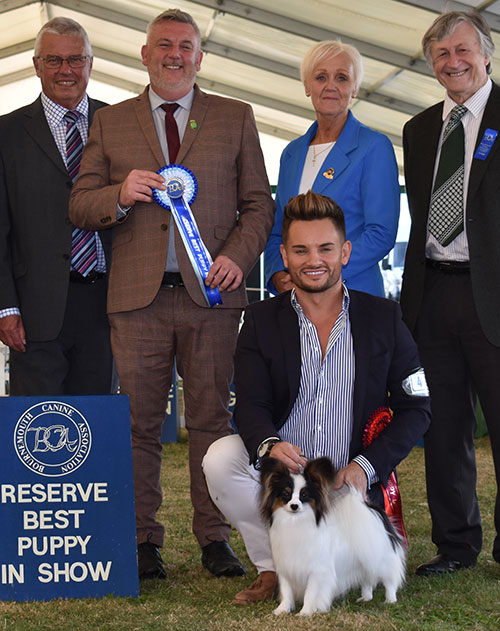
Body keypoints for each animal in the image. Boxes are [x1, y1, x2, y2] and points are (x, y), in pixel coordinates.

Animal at [260, 456, 408, 616]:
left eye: (304, 495)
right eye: (286, 494)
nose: (294, 506)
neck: (295, 521)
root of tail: (371, 509)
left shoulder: (317, 572)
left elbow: (310, 593)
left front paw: (305, 612)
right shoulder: (286, 569)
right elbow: (287, 592)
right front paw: (282, 610)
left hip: (381, 559)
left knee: (390, 580)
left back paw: (390, 600)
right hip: (364, 561)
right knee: (367, 580)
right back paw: (365, 598)